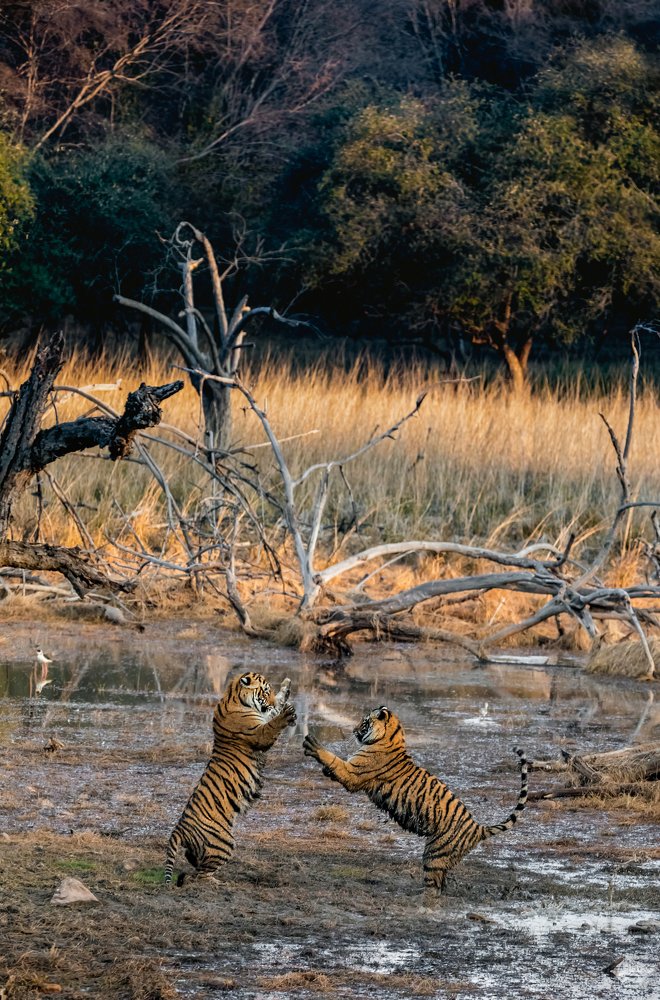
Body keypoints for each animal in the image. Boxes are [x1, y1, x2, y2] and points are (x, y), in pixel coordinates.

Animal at [165, 671, 296, 886]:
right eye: (265, 691)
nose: (268, 701)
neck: (233, 696)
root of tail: (178, 830)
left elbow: (276, 707)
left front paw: (286, 686)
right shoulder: (260, 733)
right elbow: (273, 724)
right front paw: (286, 712)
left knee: (193, 866)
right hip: (223, 842)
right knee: (199, 875)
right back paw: (219, 883)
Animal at [303, 706, 527, 891]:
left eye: (364, 722)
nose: (352, 730)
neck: (391, 737)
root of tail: (477, 828)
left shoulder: (353, 773)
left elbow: (334, 759)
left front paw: (313, 745)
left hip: (434, 854)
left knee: (433, 885)